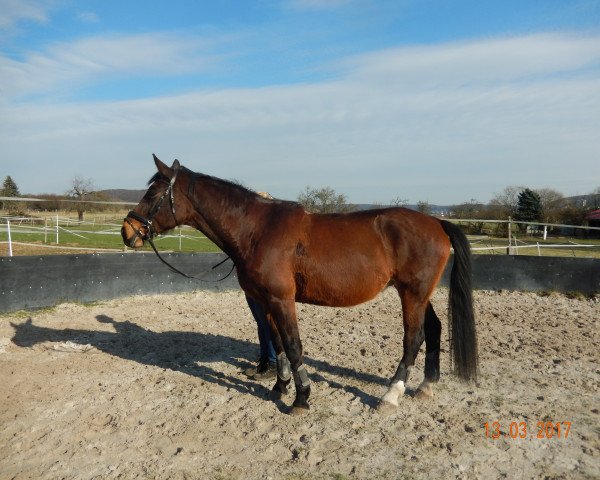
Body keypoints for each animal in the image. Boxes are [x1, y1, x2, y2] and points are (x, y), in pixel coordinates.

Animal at [122, 156, 478, 414]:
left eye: (152, 193)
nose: (127, 231)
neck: (257, 230)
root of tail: (437, 222)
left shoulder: (282, 299)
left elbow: (293, 345)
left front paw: (302, 397)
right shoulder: (265, 301)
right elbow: (278, 343)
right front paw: (279, 387)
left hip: (412, 294)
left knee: (413, 338)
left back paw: (391, 395)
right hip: (417, 294)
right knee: (433, 329)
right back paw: (426, 386)